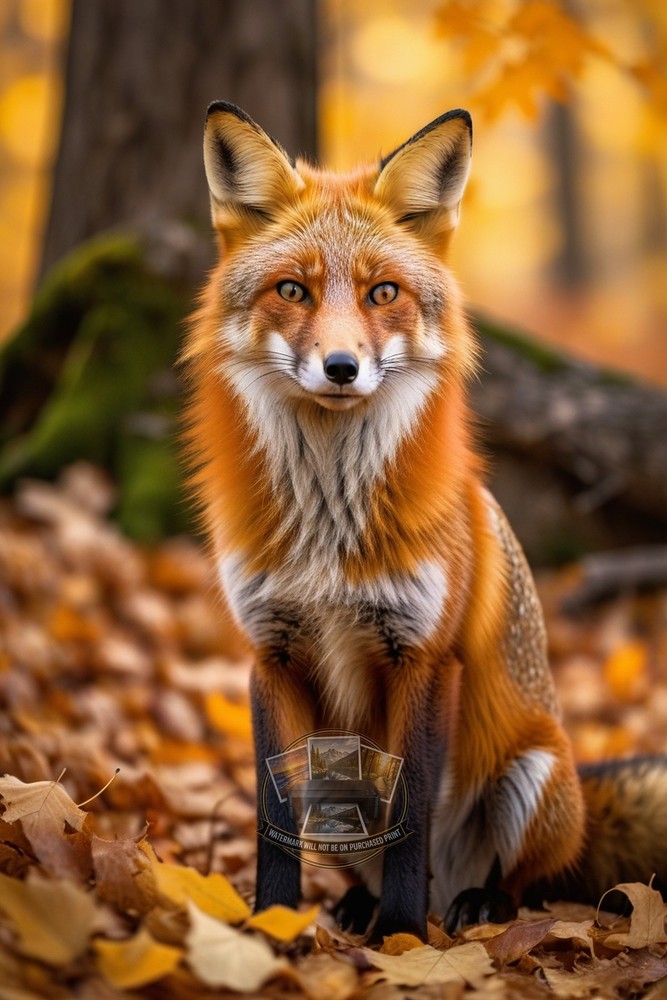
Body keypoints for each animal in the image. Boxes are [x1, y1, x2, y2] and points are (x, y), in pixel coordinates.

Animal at [183, 101, 667, 939]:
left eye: (382, 293)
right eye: (292, 290)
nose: (341, 368)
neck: (328, 529)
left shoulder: (425, 655)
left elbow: (408, 825)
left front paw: (403, 939)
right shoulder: (269, 654)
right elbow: (273, 822)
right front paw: (272, 925)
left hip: (531, 775)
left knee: (528, 881)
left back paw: (468, 908)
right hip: (335, 772)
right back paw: (354, 907)